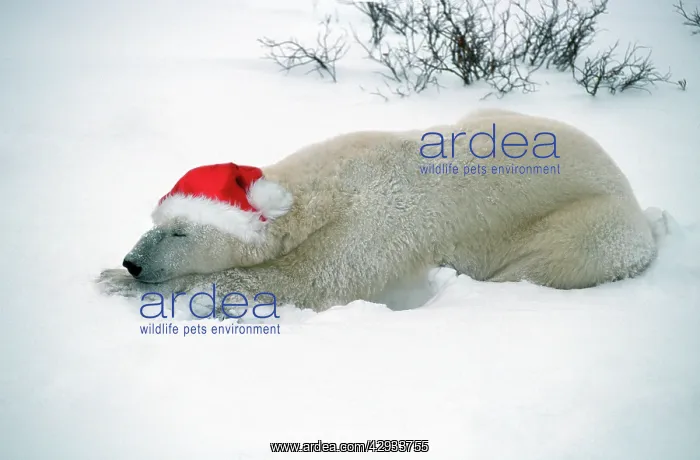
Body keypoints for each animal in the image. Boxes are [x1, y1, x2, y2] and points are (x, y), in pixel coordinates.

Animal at [98, 108, 666, 314]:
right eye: (157, 223)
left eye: (179, 233)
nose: (133, 262)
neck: (334, 182)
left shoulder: (385, 216)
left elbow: (315, 278)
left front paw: (120, 286)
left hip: (590, 225)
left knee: (544, 262)